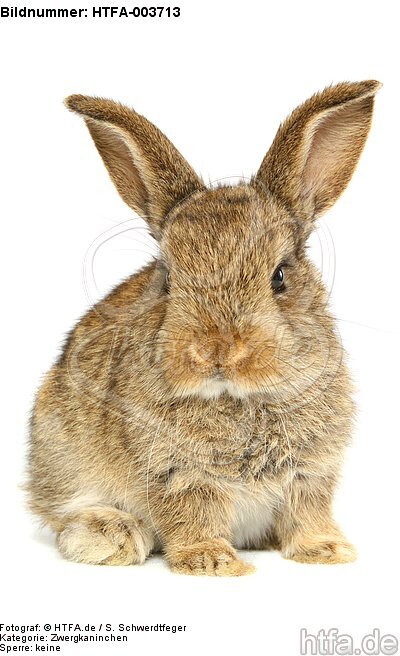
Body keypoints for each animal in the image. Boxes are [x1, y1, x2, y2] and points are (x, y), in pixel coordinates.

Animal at [28, 80, 380, 576]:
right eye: (167, 279)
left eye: (280, 277)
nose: (216, 350)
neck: (239, 398)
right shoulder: (177, 473)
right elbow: (192, 514)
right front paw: (212, 561)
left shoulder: (312, 471)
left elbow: (307, 512)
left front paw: (327, 551)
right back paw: (111, 537)